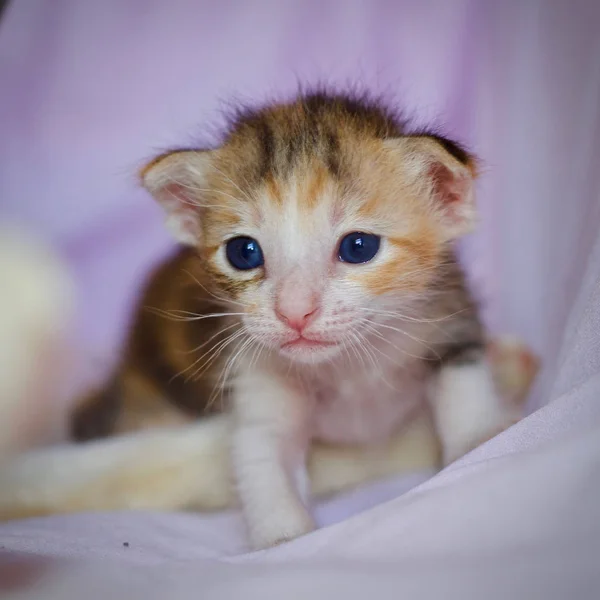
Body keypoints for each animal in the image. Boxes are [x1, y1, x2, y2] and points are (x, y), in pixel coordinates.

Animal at [67, 92, 528, 548]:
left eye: (358, 247)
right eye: (243, 252)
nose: (294, 312)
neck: (349, 368)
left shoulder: (449, 316)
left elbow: (463, 380)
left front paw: (477, 440)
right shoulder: (253, 375)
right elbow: (261, 457)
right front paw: (283, 537)